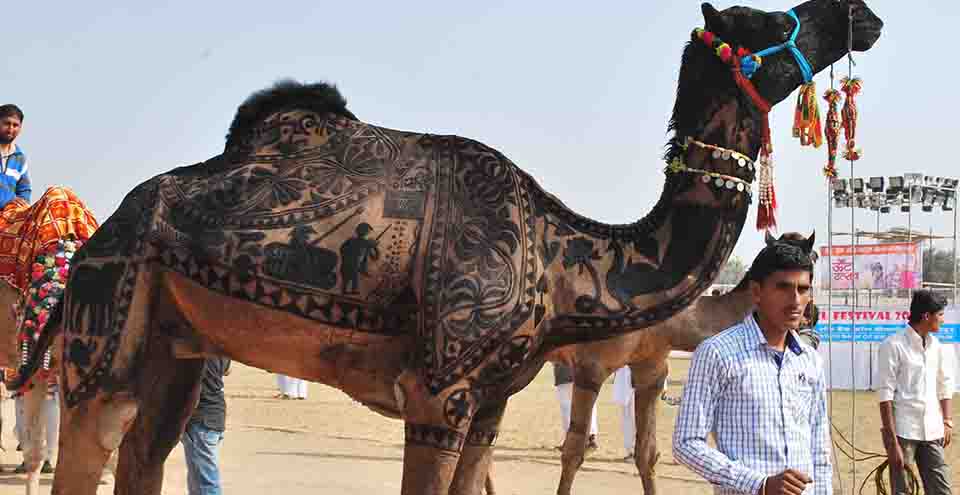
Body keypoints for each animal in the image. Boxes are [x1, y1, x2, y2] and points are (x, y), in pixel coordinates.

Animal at [547, 231, 819, 495]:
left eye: (810, 263)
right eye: (815, 257)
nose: (810, 314)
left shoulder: (652, 369)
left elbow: (646, 454)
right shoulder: (591, 367)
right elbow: (573, 453)